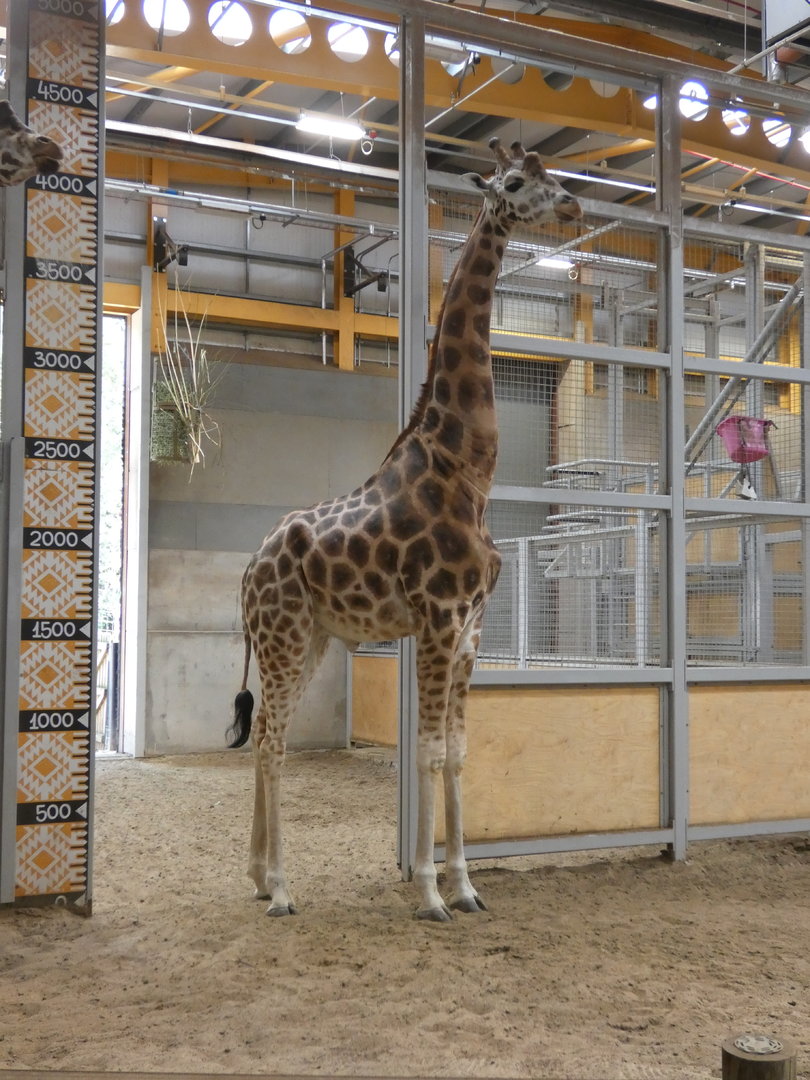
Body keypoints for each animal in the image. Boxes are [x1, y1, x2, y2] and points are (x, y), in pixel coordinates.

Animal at [228, 138, 583, 921]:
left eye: (553, 176)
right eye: (519, 183)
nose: (575, 205)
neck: (466, 469)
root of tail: (247, 569)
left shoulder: (470, 627)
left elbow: (456, 752)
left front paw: (468, 885)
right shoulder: (440, 618)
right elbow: (423, 752)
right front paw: (428, 892)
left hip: (310, 638)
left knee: (269, 732)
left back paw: (260, 876)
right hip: (283, 635)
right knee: (271, 739)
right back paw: (281, 889)